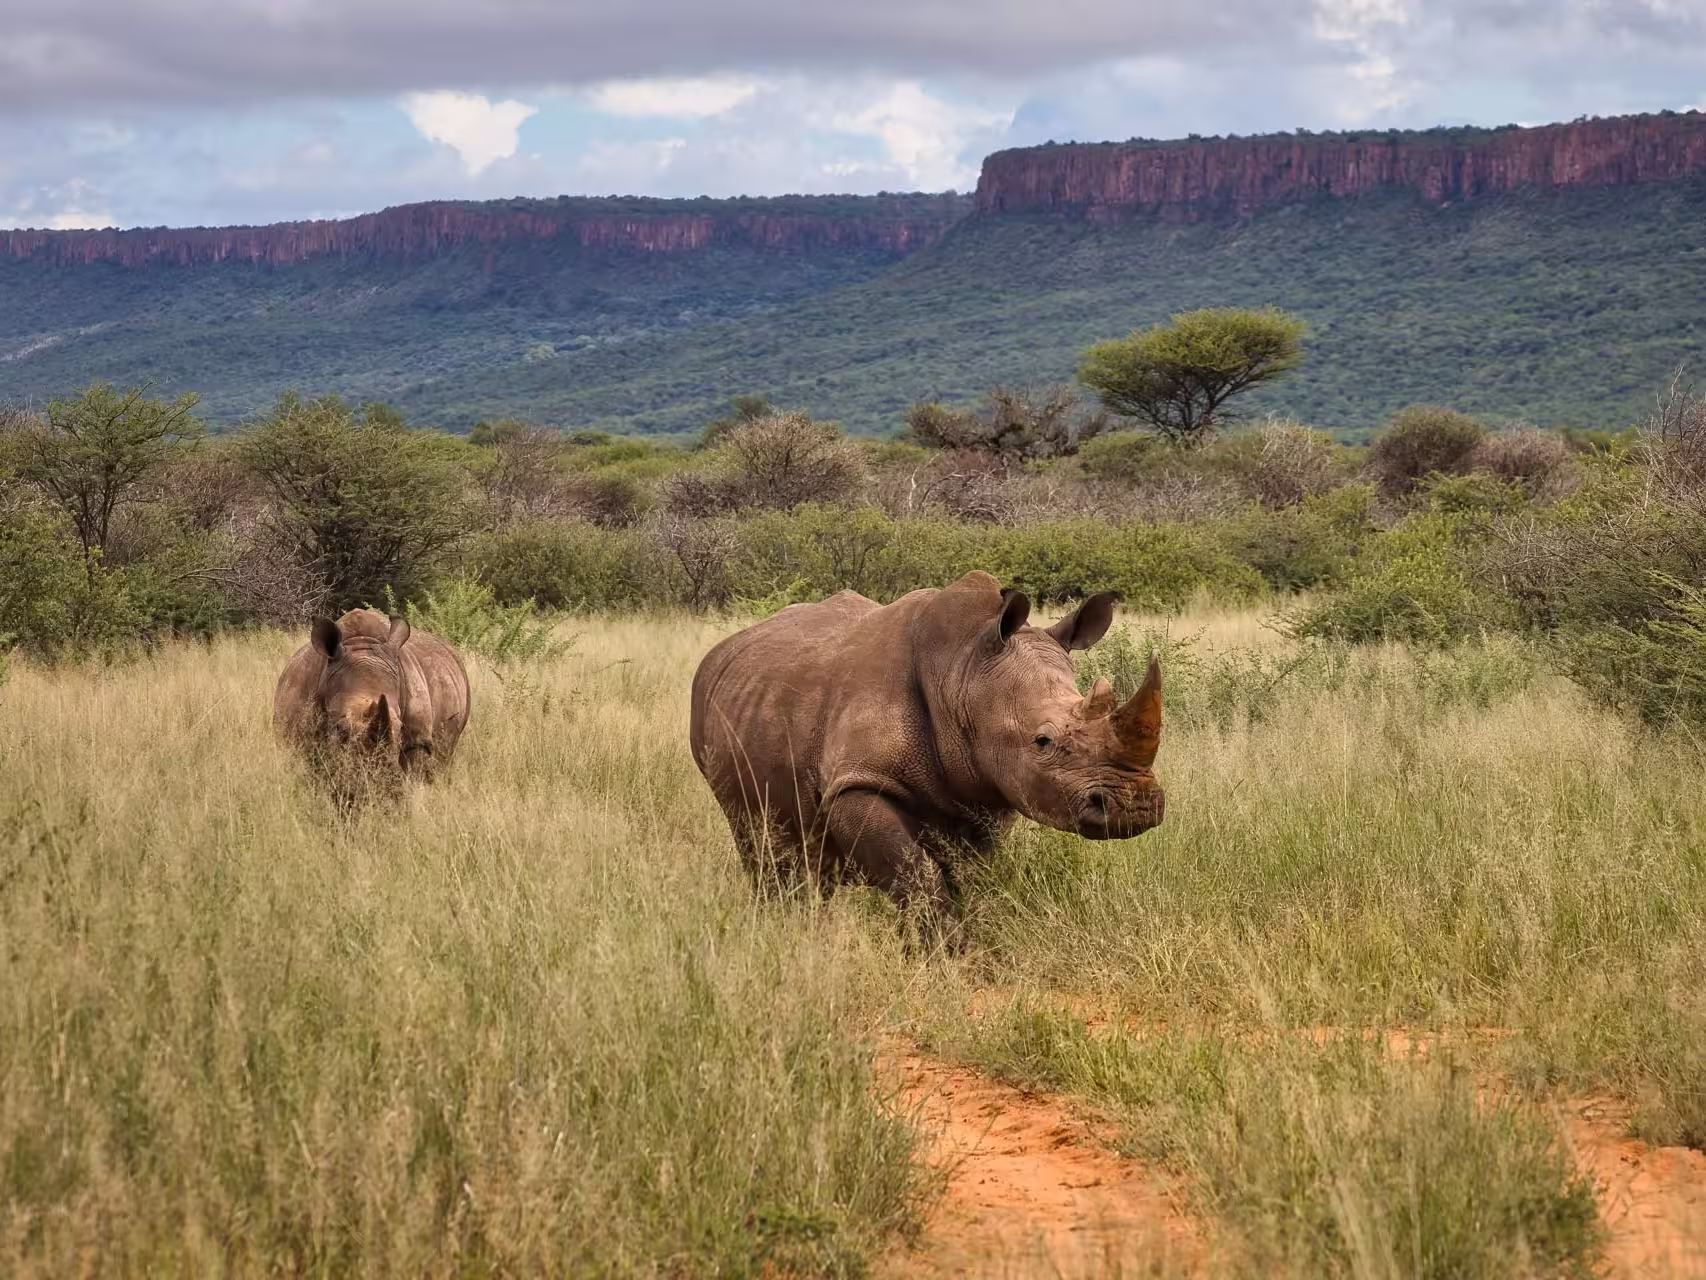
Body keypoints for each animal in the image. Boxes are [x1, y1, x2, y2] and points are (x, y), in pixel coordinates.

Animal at [689, 570, 1163, 936]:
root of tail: (721, 651)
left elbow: (967, 875)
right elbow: (918, 874)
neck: (962, 672)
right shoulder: (858, 783)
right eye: (1042, 741)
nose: (1136, 806)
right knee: (760, 844)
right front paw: (951, 954)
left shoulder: (986, 793)